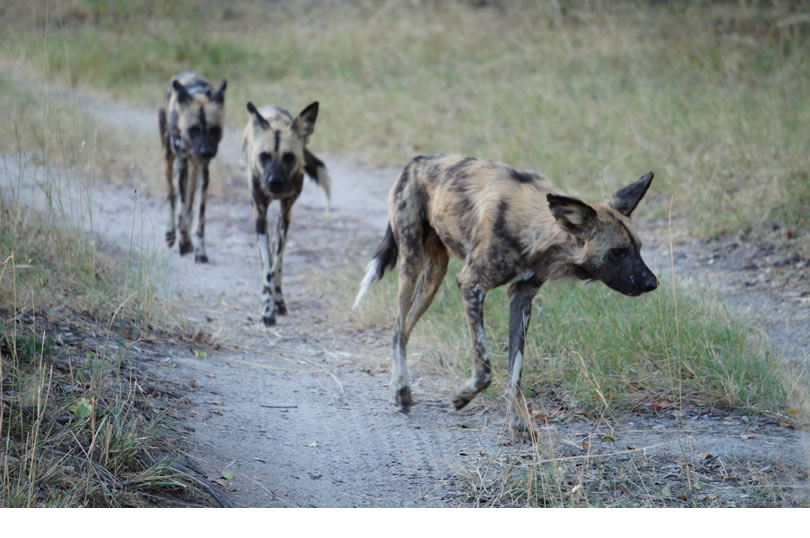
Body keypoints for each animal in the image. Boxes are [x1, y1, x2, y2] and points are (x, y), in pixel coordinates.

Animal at [159, 72, 227, 262]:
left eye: (214, 130)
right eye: (193, 130)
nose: (205, 151)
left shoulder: (204, 170)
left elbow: (199, 218)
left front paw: (198, 249)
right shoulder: (182, 165)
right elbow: (181, 210)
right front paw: (182, 241)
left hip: (194, 170)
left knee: (189, 204)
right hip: (169, 161)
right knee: (172, 196)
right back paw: (171, 233)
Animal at [241, 101, 330, 326]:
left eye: (288, 157)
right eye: (264, 156)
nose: (274, 182)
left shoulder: (285, 213)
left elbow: (276, 264)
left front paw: (274, 304)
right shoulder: (259, 215)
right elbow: (267, 265)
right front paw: (267, 310)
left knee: (277, 261)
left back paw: (279, 300)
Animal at [354, 153, 656, 430]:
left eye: (639, 248)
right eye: (618, 252)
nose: (653, 283)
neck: (536, 232)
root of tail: (418, 159)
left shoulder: (522, 298)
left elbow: (515, 371)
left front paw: (518, 423)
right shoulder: (471, 285)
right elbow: (485, 367)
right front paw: (462, 397)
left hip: (434, 275)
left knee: (405, 328)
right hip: (411, 262)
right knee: (398, 328)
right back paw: (401, 392)